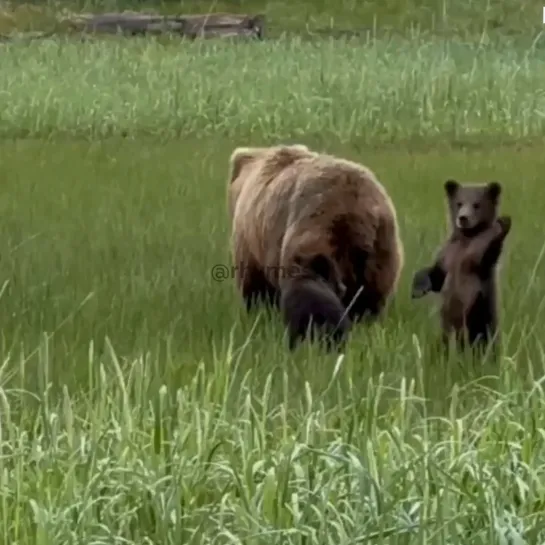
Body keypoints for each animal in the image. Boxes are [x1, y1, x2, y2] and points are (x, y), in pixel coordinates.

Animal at [226, 144, 404, 348]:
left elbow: (255, 288)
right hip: (382, 248)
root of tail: (357, 211)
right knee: (371, 300)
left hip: (315, 230)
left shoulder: (251, 245)